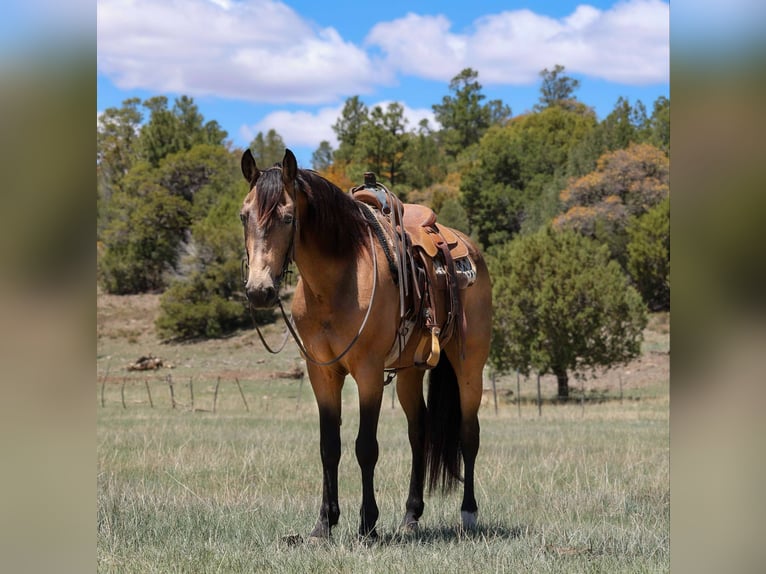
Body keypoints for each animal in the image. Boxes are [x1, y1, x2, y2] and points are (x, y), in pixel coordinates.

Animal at [239, 148, 492, 540]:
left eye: (287, 217)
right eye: (243, 216)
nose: (259, 290)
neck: (336, 283)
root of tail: (467, 249)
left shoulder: (369, 372)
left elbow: (365, 447)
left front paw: (367, 525)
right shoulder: (322, 373)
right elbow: (330, 447)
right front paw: (323, 525)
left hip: (470, 367)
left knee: (469, 434)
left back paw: (468, 513)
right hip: (409, 371)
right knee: (418, 432)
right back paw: (411, 516)